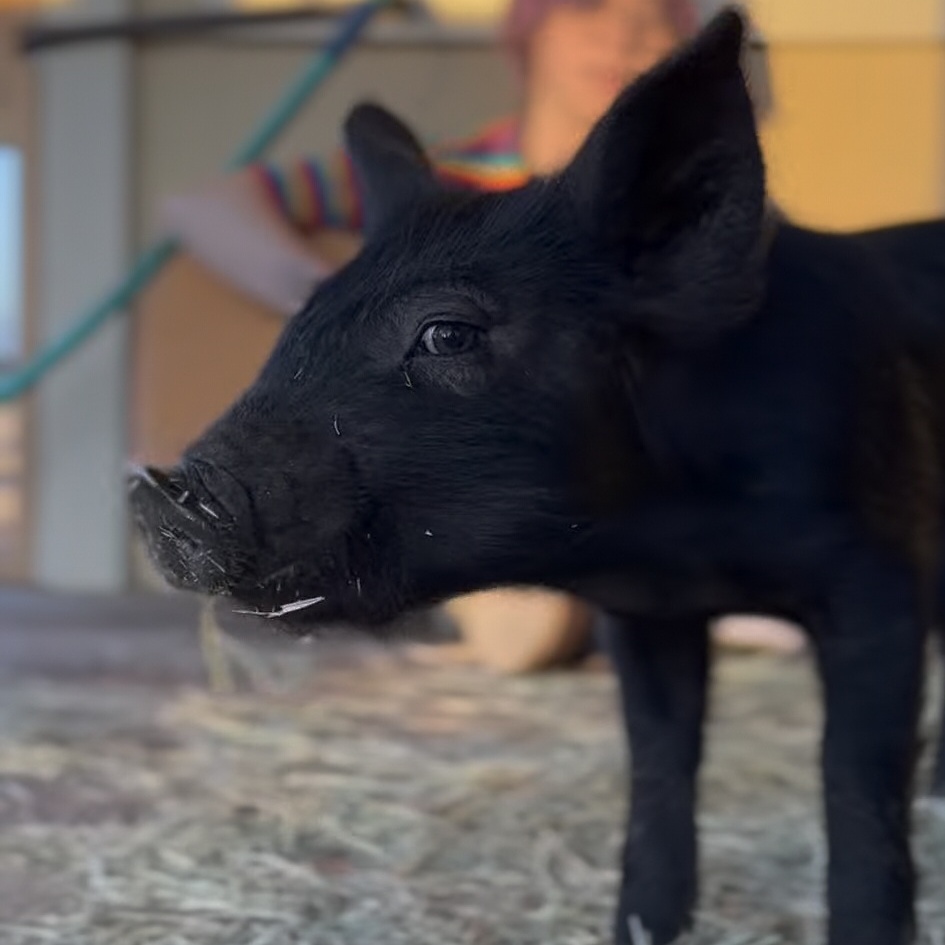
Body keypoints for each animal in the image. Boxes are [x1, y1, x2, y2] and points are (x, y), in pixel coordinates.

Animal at [131, 9, 945, 944]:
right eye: (298, 319)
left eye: (446, 333)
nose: (158, 490)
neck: (680, 536)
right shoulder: (646, 613)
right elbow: (658, 765)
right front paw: (639, 925)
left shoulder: (876, 573)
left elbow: (854, 783)